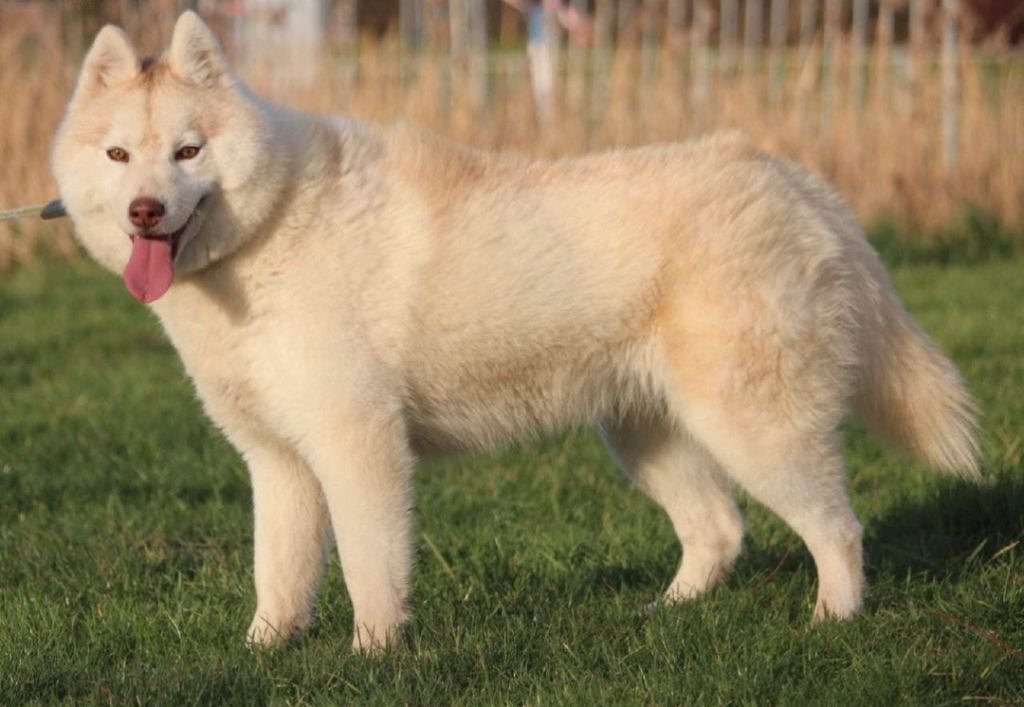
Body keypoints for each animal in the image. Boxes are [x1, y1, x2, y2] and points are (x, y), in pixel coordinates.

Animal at [51, 11, 978, 651]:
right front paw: (263, 652)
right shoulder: (277, 461)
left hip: (755, 428)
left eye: (189, 151)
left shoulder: (359, 443)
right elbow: (277, 575)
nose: (145, 211)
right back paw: (662, 613)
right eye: (119, 156)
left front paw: (372, 654)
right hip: (647, 434)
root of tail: (797, 180)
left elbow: (369, 566)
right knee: (719, 530)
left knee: (837, 529)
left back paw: (832, 622)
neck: (268, 233)